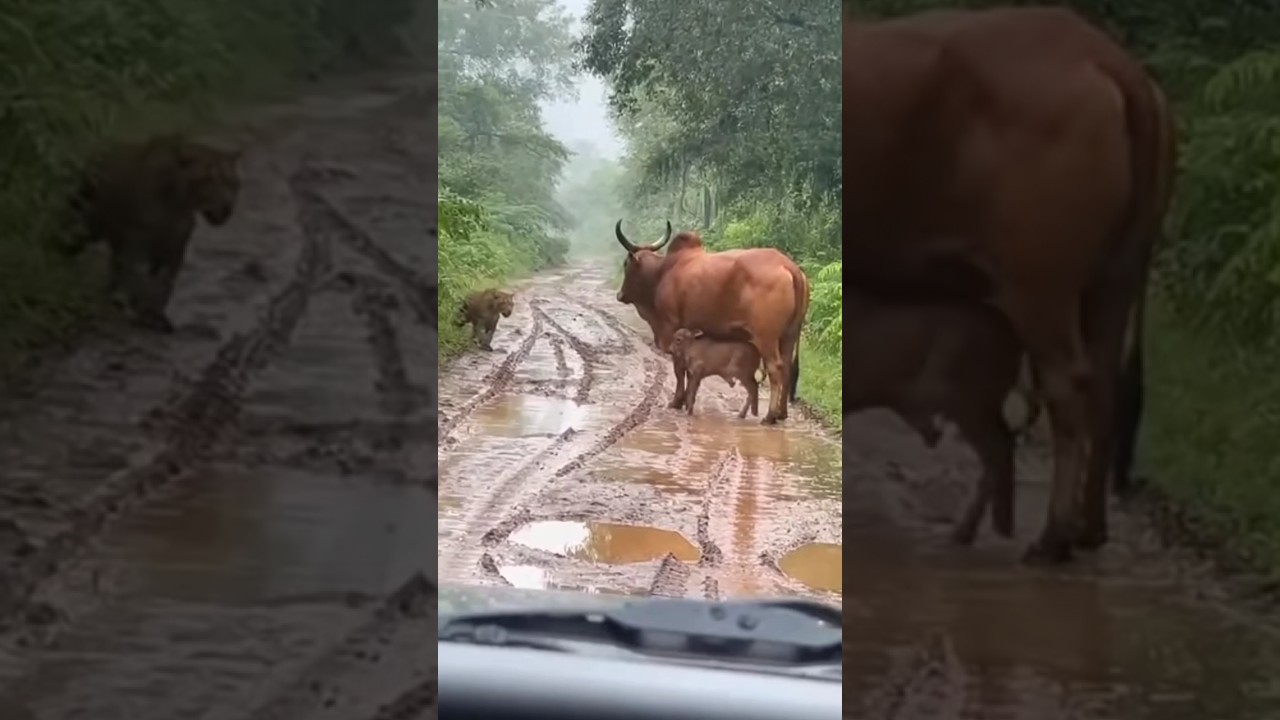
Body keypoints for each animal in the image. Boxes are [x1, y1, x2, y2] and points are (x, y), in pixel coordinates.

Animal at [613, 220, 810, 425]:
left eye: (626, 264)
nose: (620, 295)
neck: (662, 272)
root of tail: (789, 267)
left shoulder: (672, 328)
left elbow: (679, 370)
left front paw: (677, 401)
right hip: (789, 336)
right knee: (787, 368)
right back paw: (781, 413)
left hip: (766, 338)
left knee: (775, 369)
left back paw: (770, 415)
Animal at [844, 289, 1024, 545]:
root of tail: (1015, 341)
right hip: (986, 407)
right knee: (1006, 445)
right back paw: (1000, 526)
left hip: (969, 404)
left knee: (998, 451)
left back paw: (965, 532)